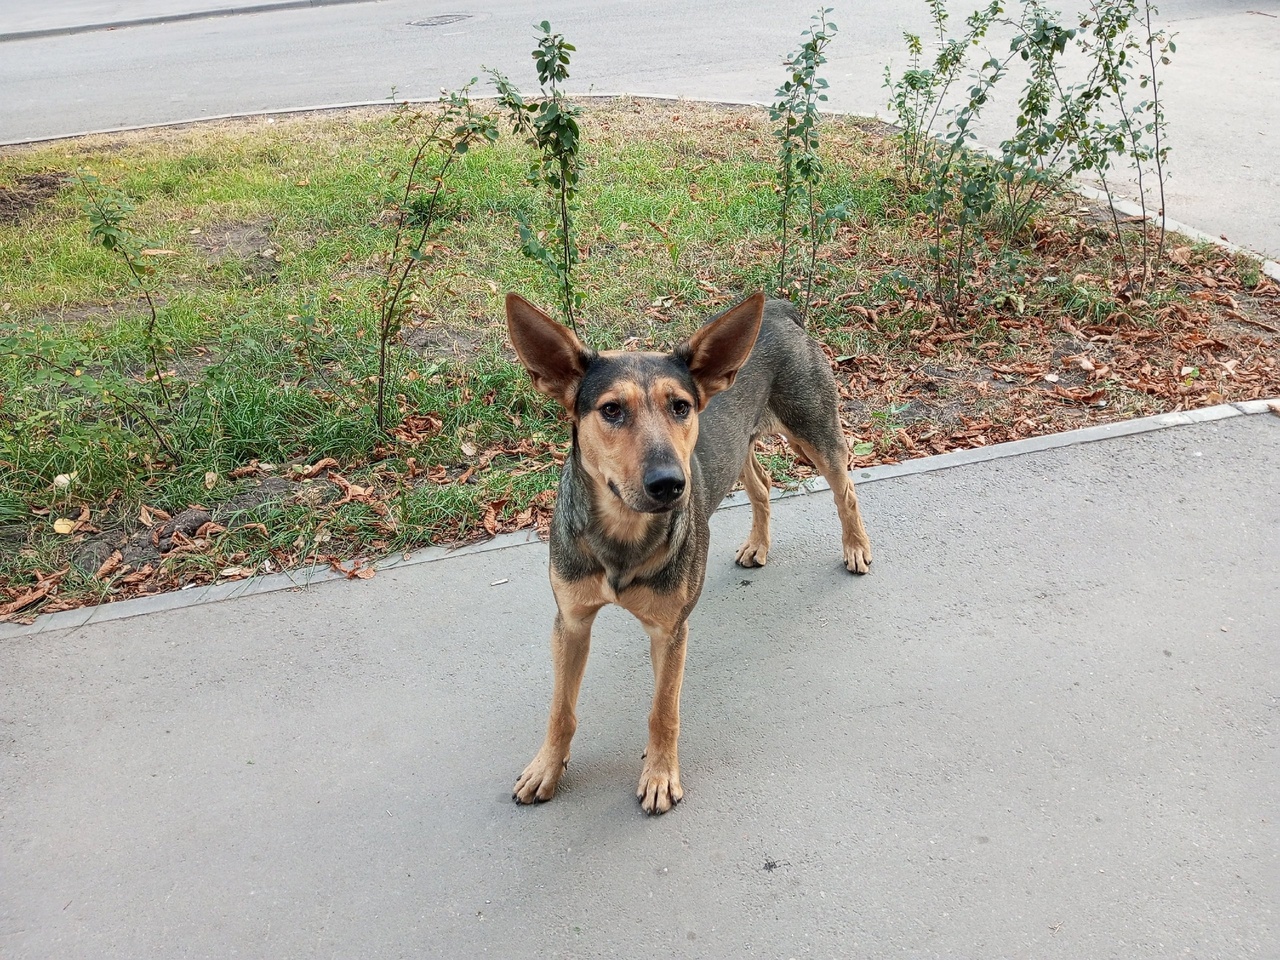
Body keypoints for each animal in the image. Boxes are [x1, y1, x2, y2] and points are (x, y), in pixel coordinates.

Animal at [504, 289, 875, 814]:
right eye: (611, 410)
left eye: (680, 406)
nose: (669, 484)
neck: (623, 532)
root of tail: (779, 308)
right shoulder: (571, 622)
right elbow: (561, 710)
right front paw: (547, 767)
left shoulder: (670, 631)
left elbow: (663, 711)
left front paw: (660, 775)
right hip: (740, 446)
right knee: (762, 485)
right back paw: (758, 543)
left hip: (815, 430)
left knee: (846, 492)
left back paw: (856, 547)